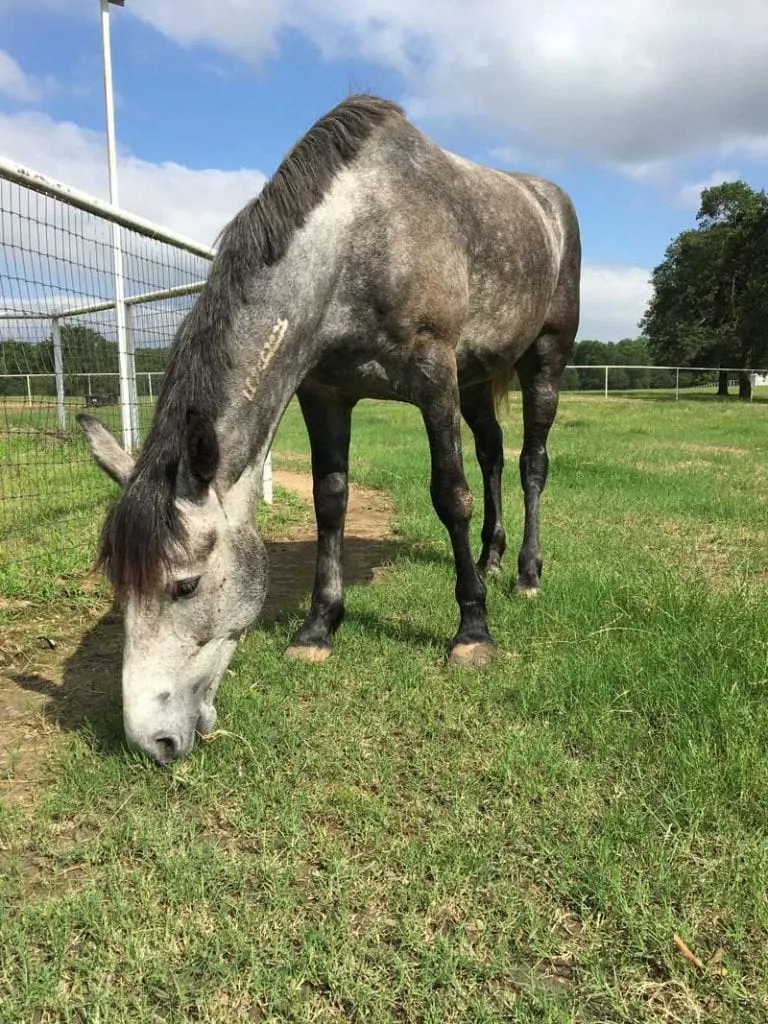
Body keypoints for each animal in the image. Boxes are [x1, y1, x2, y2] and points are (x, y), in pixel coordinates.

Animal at [79, 96, 581, 765]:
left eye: (185, 586)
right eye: (118, 586)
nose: (152, 741)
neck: (362, 236)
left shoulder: (435, 378)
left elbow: (451, 496)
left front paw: (472, 633)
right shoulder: (325, 394)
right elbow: (330, 501)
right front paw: (317, 629)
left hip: (543, 361)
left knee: (531, 464)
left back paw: (526, 574)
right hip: (479, 377)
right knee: (494, 455)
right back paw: (491, 559)